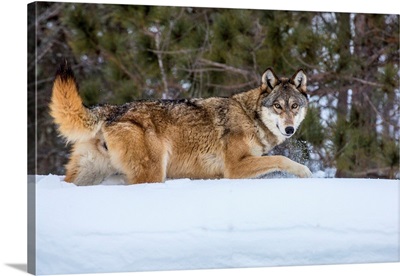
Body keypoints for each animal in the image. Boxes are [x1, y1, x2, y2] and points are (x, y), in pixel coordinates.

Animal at [49, 60, 312, 185]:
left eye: (294, 106)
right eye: (278, 106)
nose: (289, 129)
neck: (250, 117)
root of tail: (113, 109)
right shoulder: (234, 168)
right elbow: (281, 159)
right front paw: (306, 172)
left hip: (88, 173)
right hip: (154, 172)